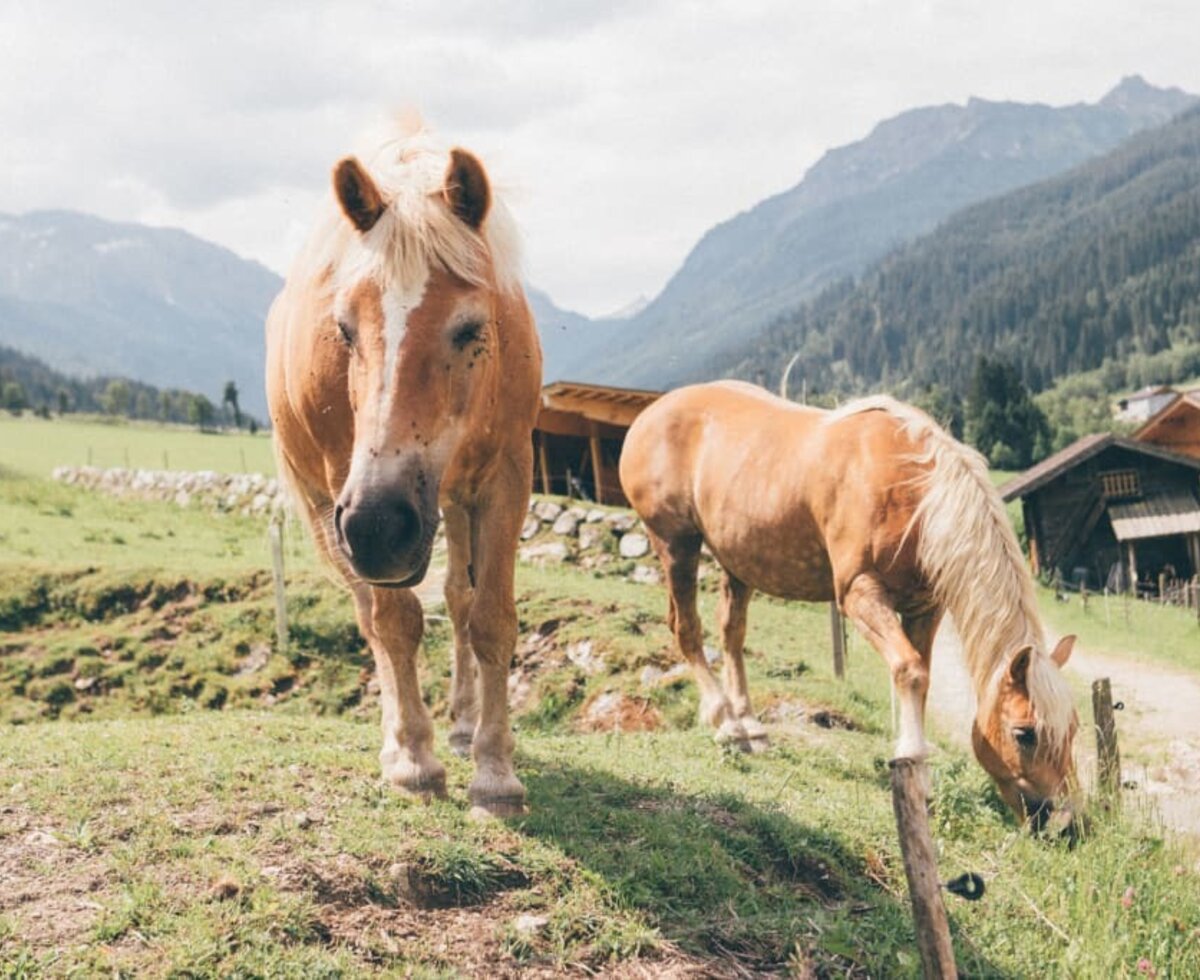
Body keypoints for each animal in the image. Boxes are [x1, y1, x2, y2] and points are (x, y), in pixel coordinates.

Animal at [268, 118, 544, 815]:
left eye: (471, 328)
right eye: (343, 328)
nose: (380, 526)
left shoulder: (505, 476)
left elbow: (490, 617)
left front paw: (495, 771)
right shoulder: (344, 493)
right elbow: (394, 622)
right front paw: (415, 760)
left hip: (448, 501)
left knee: (456, 598)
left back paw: (464, 724)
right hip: (327, 508)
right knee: (371, 618)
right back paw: (399, 742)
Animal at [624, 381, 1084, 825]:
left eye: (1074, 730)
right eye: (1025, 733)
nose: (1067, 825)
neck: (913, 491)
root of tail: (650, 415)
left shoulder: (923, 607)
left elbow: (920, 674)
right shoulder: (859, 592)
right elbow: (910, 671)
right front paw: (916, 764)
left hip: (737, 563)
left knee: (731, 634)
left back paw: (749, 727)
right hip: (677, 545)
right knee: (687, 629)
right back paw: (724, 722)